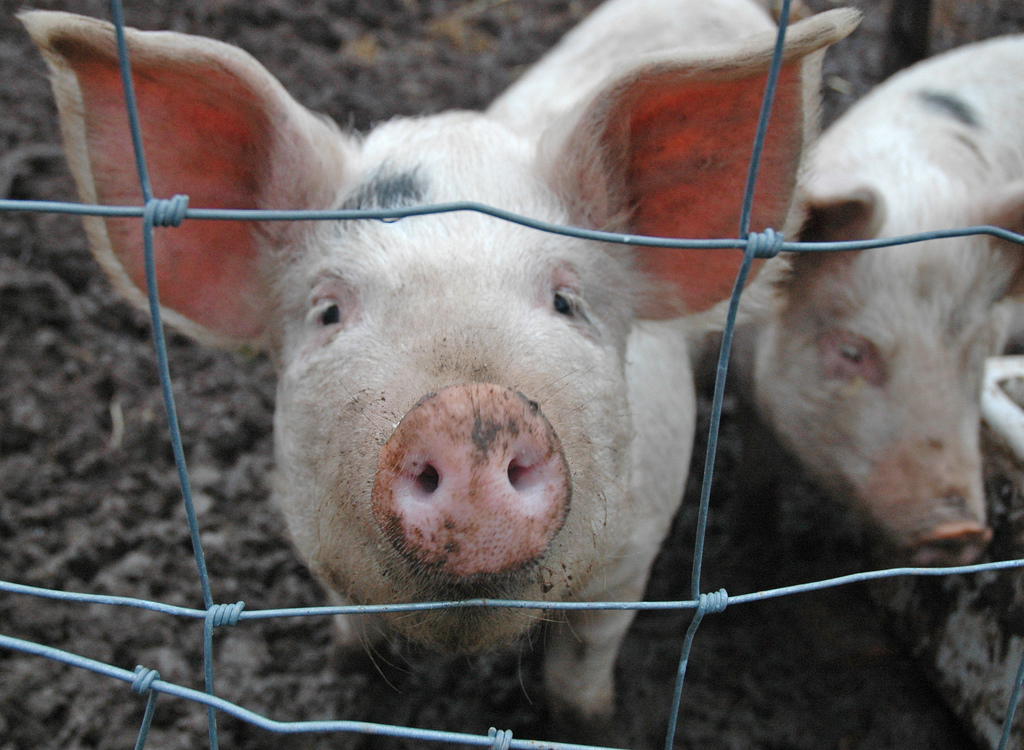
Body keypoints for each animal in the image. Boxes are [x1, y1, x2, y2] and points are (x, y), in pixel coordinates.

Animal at [22, 1, 858, 719]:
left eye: (567, 300)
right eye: (328, 311)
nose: (472, 415)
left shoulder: (635, 551)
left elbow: (584, 660)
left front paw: (589, 719)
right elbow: (354, 625)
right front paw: (353, 682)